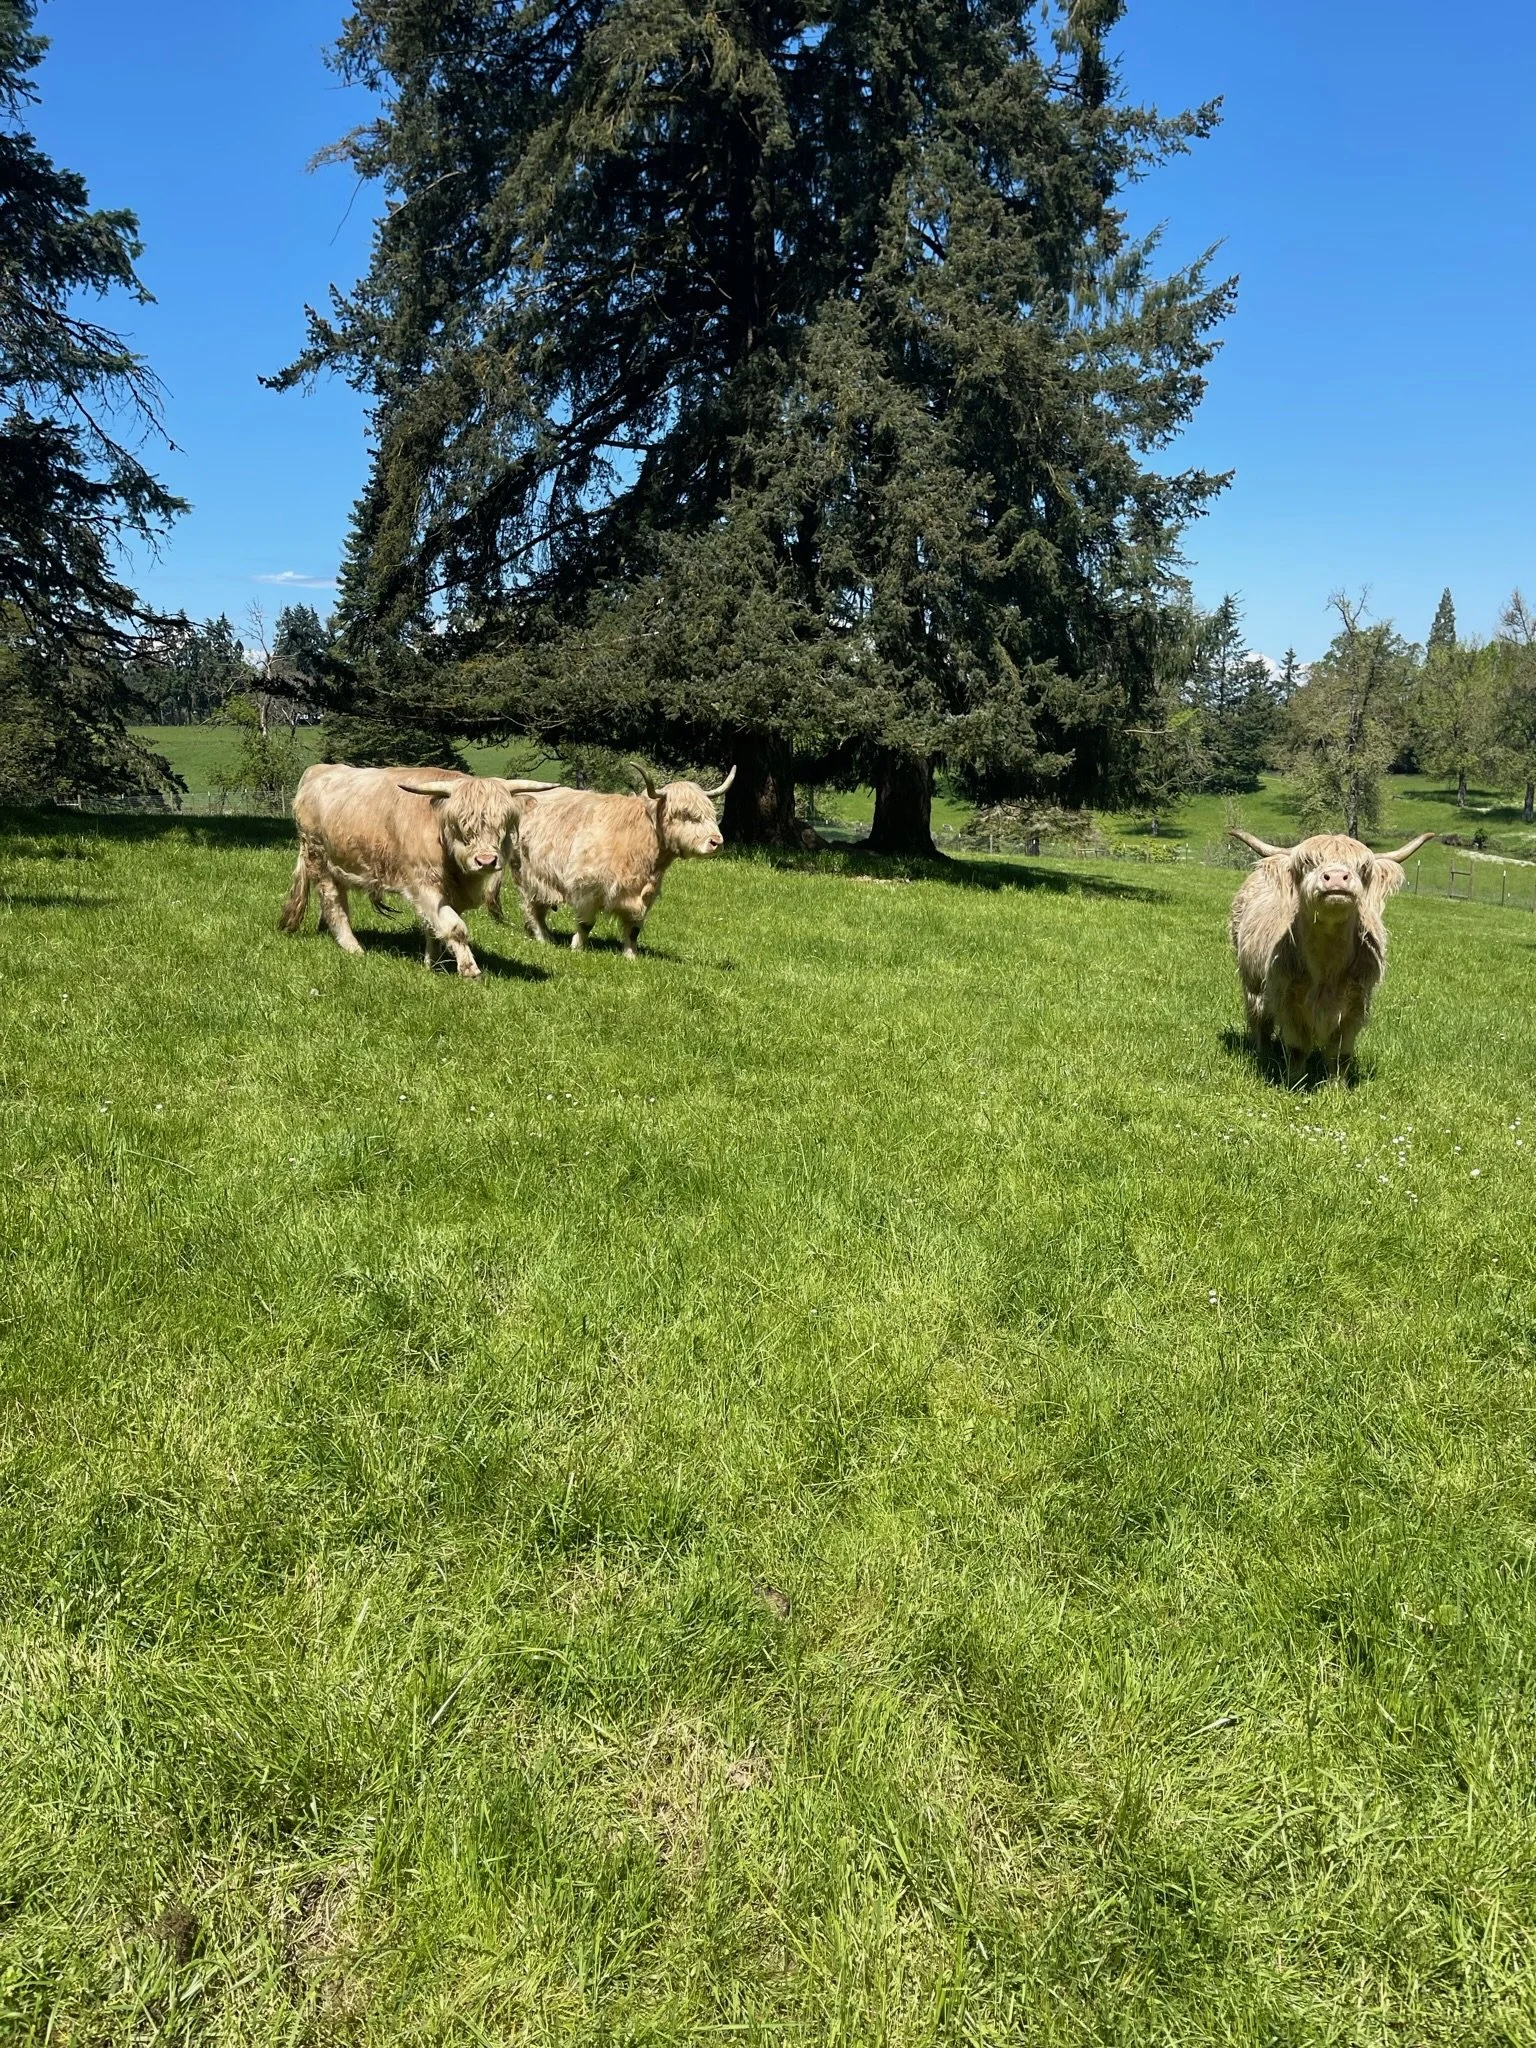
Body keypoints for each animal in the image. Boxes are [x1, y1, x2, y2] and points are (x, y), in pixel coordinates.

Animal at [279, 763, 560, 977]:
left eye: (503, 824)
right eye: (460, 825)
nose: (486, 861)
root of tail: (319, 770)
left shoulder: (449, 893)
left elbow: (435, 927)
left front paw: (432, 964)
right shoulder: (423, 884)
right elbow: (455, 927)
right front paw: (469, 969)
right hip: (318, 858)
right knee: (334, 904)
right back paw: (353, 947)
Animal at [508, 763, 737, 957]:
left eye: (711, 813)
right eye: (684, 814)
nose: (716, 842)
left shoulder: (644, 895)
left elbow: (633, 929)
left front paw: (630, 955)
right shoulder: (587, 887)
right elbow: (585, 924)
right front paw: (578, 948)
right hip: (526, 876)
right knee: (532, 908)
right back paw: (544, 938)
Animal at [1228, 828, 1434, 1068]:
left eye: (1362, 867)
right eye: (1307, 863)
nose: (1336, 877)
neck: (1327, 967)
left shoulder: (1355, 1005)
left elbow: (1340, 1056)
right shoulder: (1287, 999)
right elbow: (1297, 1050)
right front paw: (1294, 1077)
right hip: (1252, 982)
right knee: (1260, 1021)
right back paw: (1264, 1056)